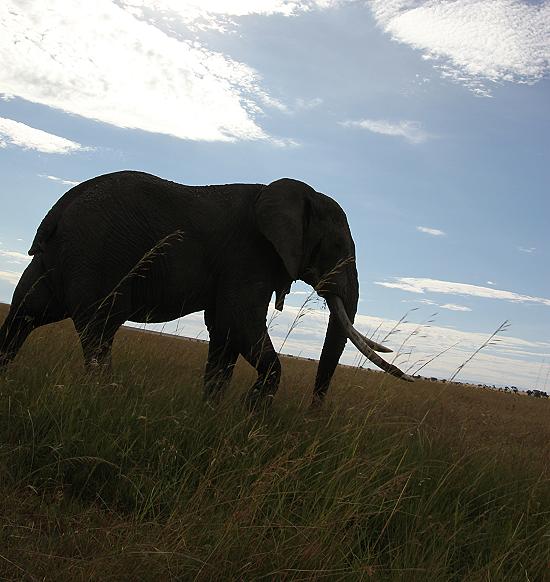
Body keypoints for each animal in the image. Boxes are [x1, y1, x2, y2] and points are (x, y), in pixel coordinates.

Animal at [0, 171, 414, 408]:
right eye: (338, 247)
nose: (313, 415)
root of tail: (58, 211)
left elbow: (224, 332)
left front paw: (211, 415)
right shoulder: (249, 254)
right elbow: (239, 323)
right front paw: (252, 415)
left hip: (56, 260)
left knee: (24, 315)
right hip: (96, 255)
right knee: (100, 331)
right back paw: (102, 400)